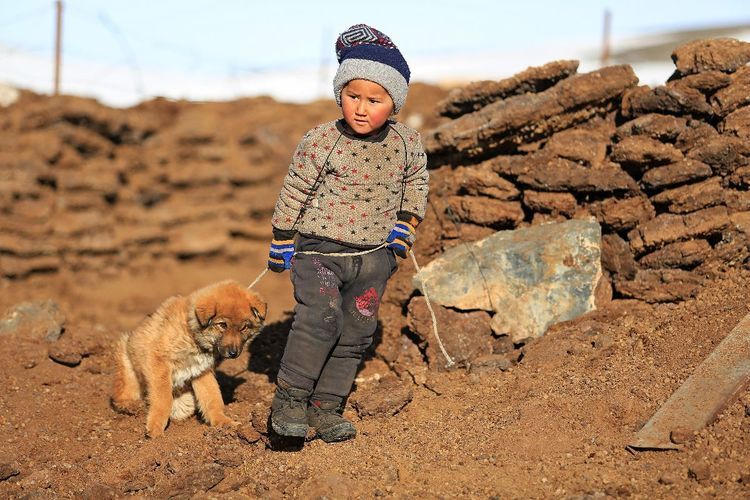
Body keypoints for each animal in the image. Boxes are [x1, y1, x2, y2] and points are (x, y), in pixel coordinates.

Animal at [110, 282, 266, 438]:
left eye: (244, 327)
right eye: (222, 325)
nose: (233, 353)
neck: (192, 332)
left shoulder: (202, 371)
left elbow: (213, 398)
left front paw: (223, 423)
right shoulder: (158, 359)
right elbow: (163, 398)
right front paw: (156, 428)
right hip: (126, 360)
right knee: (121, 393)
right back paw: (131, 406)